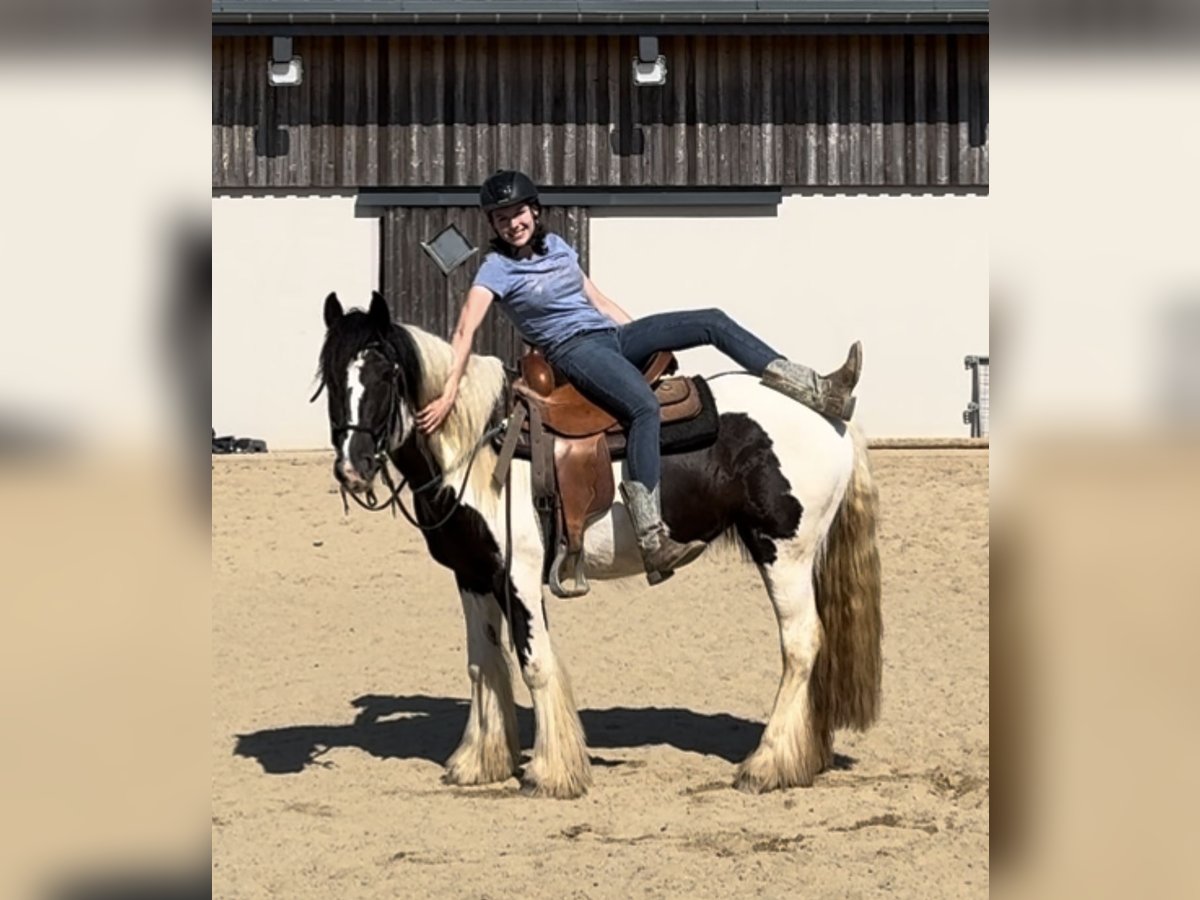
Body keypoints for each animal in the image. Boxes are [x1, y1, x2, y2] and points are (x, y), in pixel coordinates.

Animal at [319, 292, 883, 801]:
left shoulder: (520, 576)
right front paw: (479, 762)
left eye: (386, 374)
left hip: (784, 553)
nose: (352, 467)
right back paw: (803, 759)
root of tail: (832, 420)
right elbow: (483, 664)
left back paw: (766, 765)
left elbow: (534, 664)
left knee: (801, 645)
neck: (479, 446)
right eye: (329, 377)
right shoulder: (473, 575)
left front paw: (551, 774)